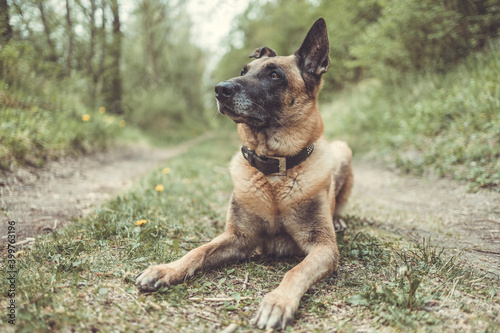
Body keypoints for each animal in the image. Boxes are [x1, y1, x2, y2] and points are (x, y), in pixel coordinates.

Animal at [136, 18, 356, 330]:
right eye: (243, 71)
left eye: (274, 75)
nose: (220, 89)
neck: (274, 172)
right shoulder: (237, 237)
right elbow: (199, 250)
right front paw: (167, 269)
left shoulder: (323, 248)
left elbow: (295, 271)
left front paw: (277, 302)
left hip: (343, 151)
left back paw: (338, 219)